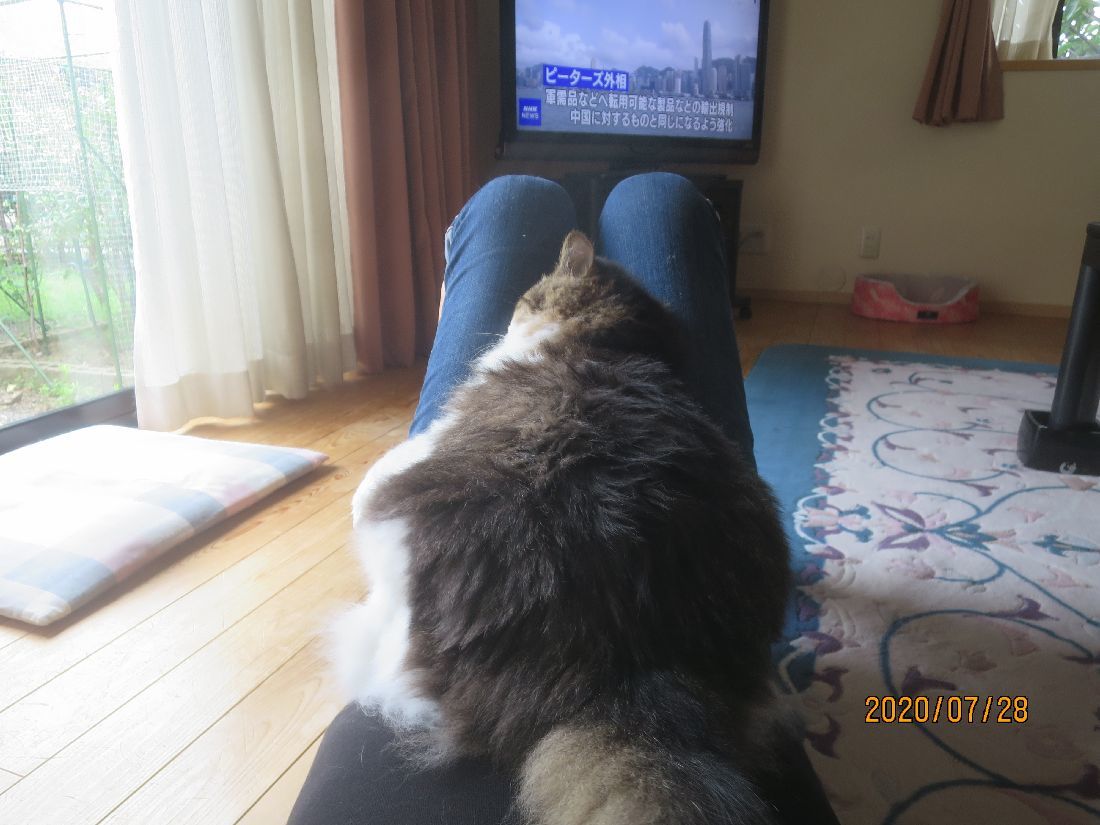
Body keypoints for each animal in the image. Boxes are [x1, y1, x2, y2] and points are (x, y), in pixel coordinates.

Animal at [333, 230, 793, 825]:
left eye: (525, 299)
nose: (506, 319)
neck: (612, 346)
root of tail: (627, 665)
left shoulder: (423, 446)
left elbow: (372, 478)